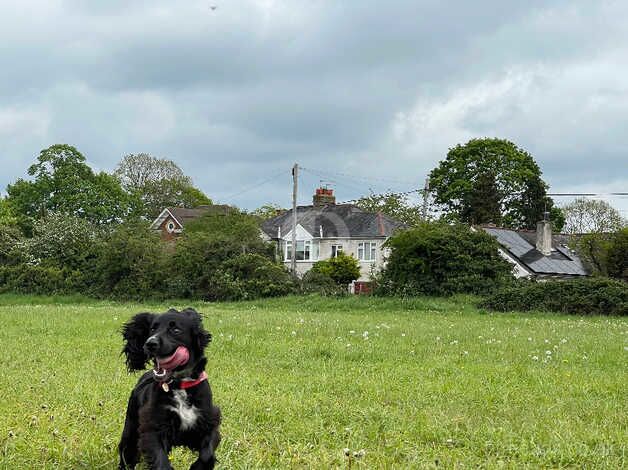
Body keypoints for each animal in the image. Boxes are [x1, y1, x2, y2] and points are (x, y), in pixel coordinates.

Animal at [118, 306, 221, 468]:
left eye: (176, 330)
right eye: (153, 328)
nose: (150, 343)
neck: (179, 385)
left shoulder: (208, 422)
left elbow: (207, 453)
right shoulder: (154, 427)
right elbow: (160, 460)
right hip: (130, 428)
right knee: (126, 451)